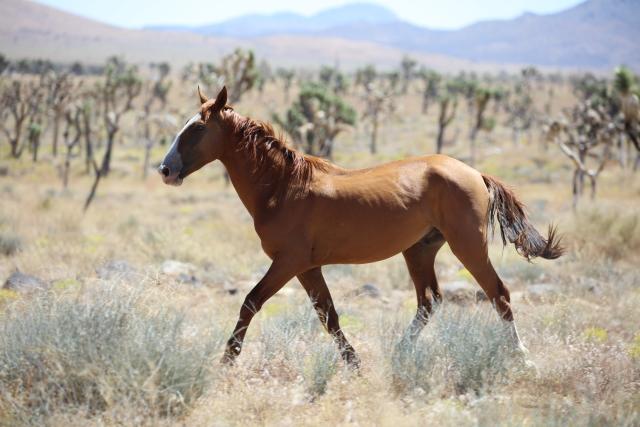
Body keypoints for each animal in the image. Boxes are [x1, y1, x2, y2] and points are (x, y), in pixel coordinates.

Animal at [159, 86, 563, 368]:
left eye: (197, 128)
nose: (165, 170)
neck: (284, 186)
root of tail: (474, 173)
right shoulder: (307, 268)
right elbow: (329, 316)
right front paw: (354, 364)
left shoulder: (288, 263)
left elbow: (250, 302)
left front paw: (227, 360)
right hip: (420, 250)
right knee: (430, 301)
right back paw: (399, 353)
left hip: (468, 245)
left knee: (499, 294)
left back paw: (523, 358)